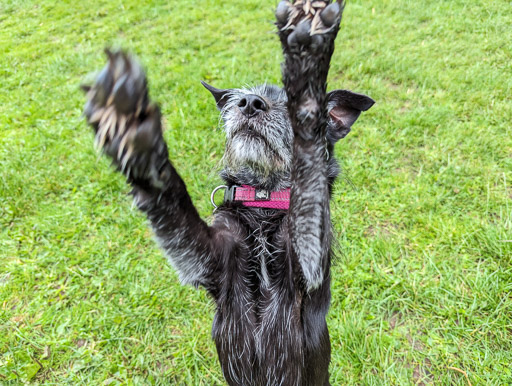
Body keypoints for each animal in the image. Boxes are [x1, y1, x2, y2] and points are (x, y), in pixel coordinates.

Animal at [82, 1, 374, 384]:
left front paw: (307, 51)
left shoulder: (307, 259)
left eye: (287, 105)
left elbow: (309, 175)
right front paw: (130, 128)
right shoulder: (206, 258)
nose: (249, 103)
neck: (265, 199)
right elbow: (172, 202)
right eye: (244, 98)